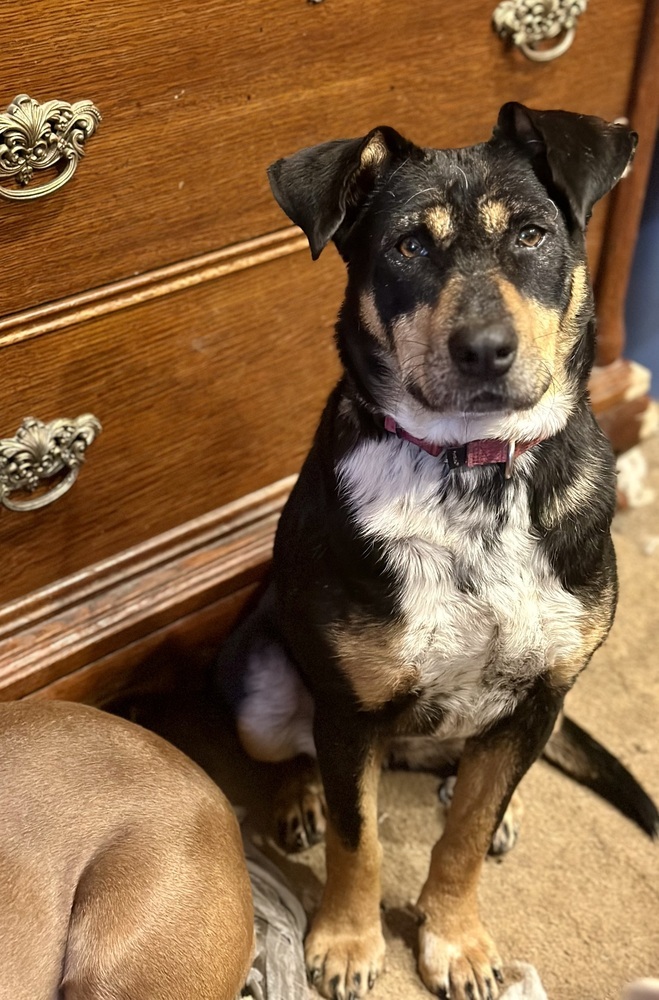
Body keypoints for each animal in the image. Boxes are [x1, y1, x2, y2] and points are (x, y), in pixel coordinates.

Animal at [217, 101, 659, 1000]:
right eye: (408, 247)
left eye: (530, 233)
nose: (484, 349)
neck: (471, 471)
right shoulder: (349, 711)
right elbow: (359, 840)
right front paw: (348, 943)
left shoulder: (540, 692)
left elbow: (461, 838)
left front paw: (454, 940)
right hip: (260, 684)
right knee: (297, 749)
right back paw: (300, 800)